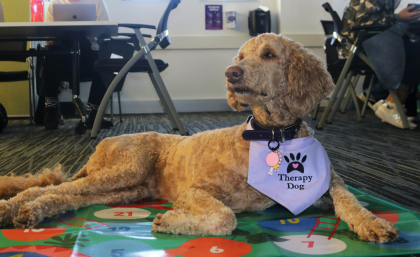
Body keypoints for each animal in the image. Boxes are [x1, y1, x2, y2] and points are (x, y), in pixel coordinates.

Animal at [0, 32, 398, 242]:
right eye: (240, 55)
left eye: (269, 54)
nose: (231, 73)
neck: (272, 134)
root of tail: (102, 144)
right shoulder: (195, 192)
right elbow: (226, 218)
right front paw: (173, 222)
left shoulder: (329, 185)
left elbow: (350, 200)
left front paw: (373, 223)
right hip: (124, 170)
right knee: (53, 187)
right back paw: (15, 207)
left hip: (126, 189)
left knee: (66, 195)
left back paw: (31, 211)